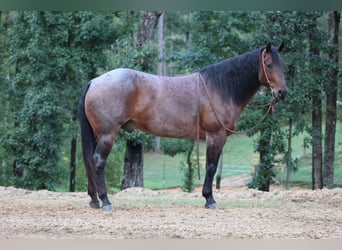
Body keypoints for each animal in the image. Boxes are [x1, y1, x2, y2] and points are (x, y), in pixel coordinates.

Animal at [78, 43, 288, 211]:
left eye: (283, 65)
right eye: (269, 64)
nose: (282, 92)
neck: (221, 88)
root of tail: (94, 81)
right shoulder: (215, 136)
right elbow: (211, 167)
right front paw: (209, 199)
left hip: (98, 135)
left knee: (89, 162)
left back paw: (94, 200)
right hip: (107, 135)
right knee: (98, 162)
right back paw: (105, 201)